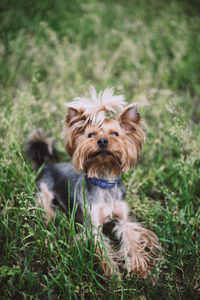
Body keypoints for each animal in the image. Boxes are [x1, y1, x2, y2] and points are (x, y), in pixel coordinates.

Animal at [26, 86, 161, 278]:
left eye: (115, 134)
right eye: (91, 134)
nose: (102, 141)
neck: (105, 181)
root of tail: (46, 166)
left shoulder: (124, 221)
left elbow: (132, 240)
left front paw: (140, 269)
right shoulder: (94, 227)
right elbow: (103, 251)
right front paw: (114, 277)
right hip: (44, 197)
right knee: (47, 213)